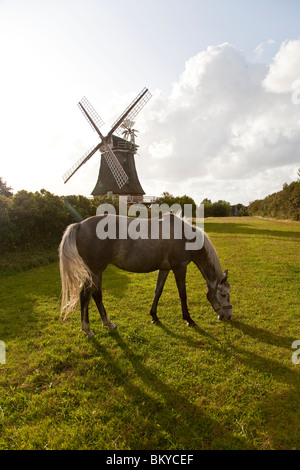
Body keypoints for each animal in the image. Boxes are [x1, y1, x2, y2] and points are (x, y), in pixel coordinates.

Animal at [58, 213, 232, 338]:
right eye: (224, 294)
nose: (228, 316)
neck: (185, 236)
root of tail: (80, 225)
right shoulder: (179, 268)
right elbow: (183, 294)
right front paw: (188, 319)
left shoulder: (164, 269)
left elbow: (158, 291)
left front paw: (154, 316)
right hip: (95, 271)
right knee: (85, 295)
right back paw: (87, 329)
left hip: (98, 272)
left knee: (96, 295)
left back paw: (108, 323)